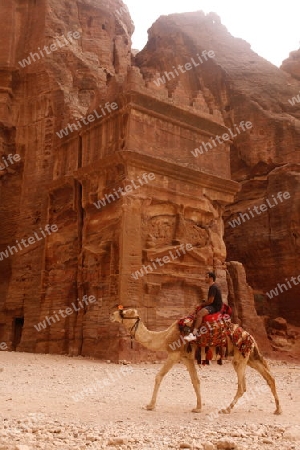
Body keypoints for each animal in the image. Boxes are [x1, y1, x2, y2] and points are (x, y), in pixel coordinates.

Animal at [110, 308, 282, 414]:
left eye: (124, 311)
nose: (112, 314)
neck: (165, 337)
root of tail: (250, 337)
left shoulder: (174, 354)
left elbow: (159, 376)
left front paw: (150, 405)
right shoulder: (186, 358)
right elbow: (195, 381)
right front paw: (198, 408)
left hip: (240, 357)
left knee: (243, 386)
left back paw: (226, 409)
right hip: (250, 357)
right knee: (270, 377)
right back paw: (278, 410)